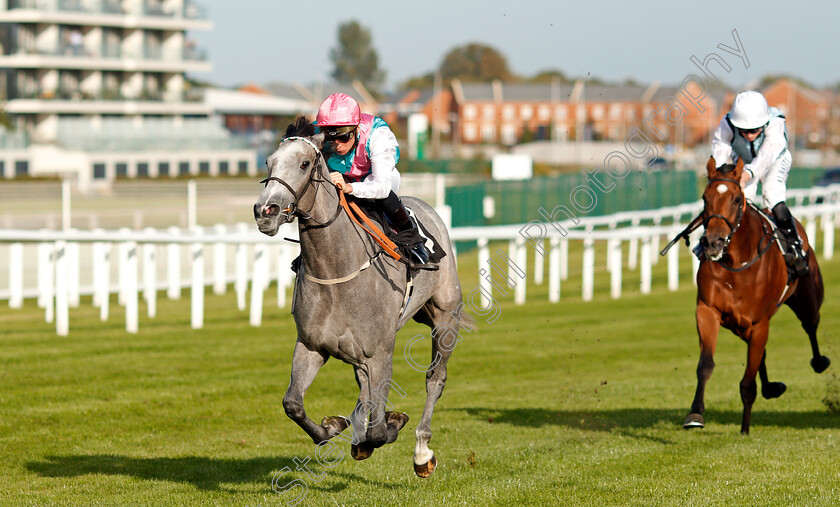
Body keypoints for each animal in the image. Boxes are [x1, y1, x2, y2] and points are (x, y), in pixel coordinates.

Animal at [253, 117, 470, 478]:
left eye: (304, 163)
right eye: (269, 162)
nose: (265, 210)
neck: (335, 271)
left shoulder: (381, 352)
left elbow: (380, 430)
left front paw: (390, 423)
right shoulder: (312, 344)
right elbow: (293, 404)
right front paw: (334, 426)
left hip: (444, 319)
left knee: (435, 380)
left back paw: (421, 451)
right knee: (363, 386)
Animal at [684, 157, 832, 434]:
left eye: (735, 199)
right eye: (705, 198)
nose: (713, 242)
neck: (737, 262)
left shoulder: (759, 322)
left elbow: (747, 382)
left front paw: (744, 429)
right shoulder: (708, 311)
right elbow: (705, 365)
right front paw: (695, 414)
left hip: (807, 300)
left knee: (810, 325)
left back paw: (819, 362)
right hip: (739, 325)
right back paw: (771, 387)